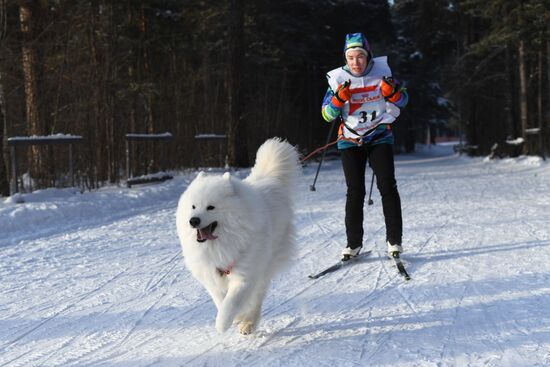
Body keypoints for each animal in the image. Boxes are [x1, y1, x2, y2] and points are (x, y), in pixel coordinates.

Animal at [177, 139, 300, 336]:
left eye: (211, 207)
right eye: (193, 206)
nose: (193, 220)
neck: (219, 243)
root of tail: (268, 180)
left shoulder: (245, 274)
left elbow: (231, 302)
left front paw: (223, 323)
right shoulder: (211, 275)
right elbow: (220, 300)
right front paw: (235, 318)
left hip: (265, 265)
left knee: (257, 297)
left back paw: (249, 323)